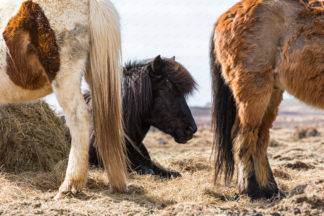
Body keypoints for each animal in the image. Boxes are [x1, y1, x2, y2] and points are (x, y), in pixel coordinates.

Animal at [210, 0, 324, 199]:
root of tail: (226, 16)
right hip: (254, 91)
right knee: (242, 136)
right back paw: (251, 189)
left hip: (272, 94)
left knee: (260, 138)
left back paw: (269, 189)